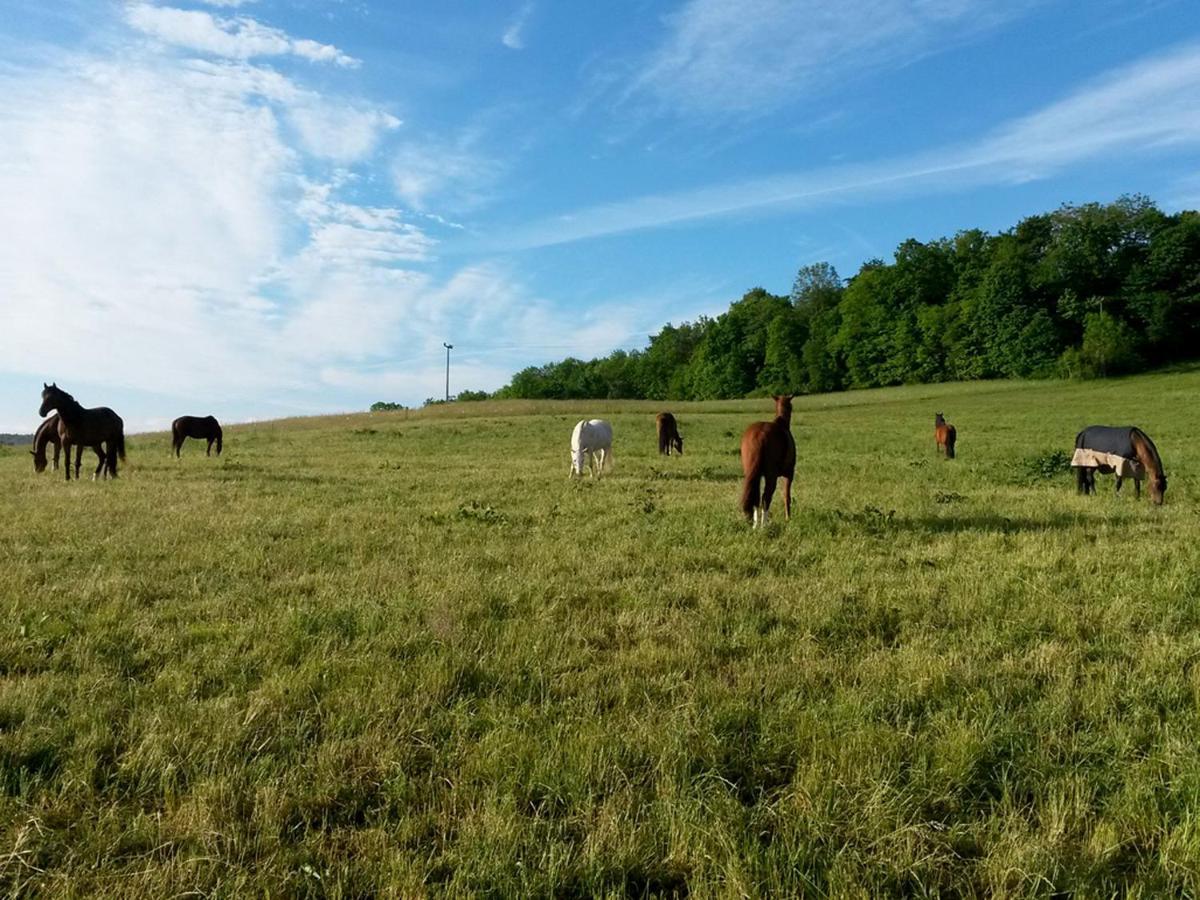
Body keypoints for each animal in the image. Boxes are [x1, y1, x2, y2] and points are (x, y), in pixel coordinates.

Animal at [734, 393, 792, 528]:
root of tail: (759, 434)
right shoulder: (789, 474)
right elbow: (786, 496)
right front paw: (788, 518)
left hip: (752, 473)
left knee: (756, 498)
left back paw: (755, 525)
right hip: (771, 476)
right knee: (766, 497)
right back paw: (763, 525)